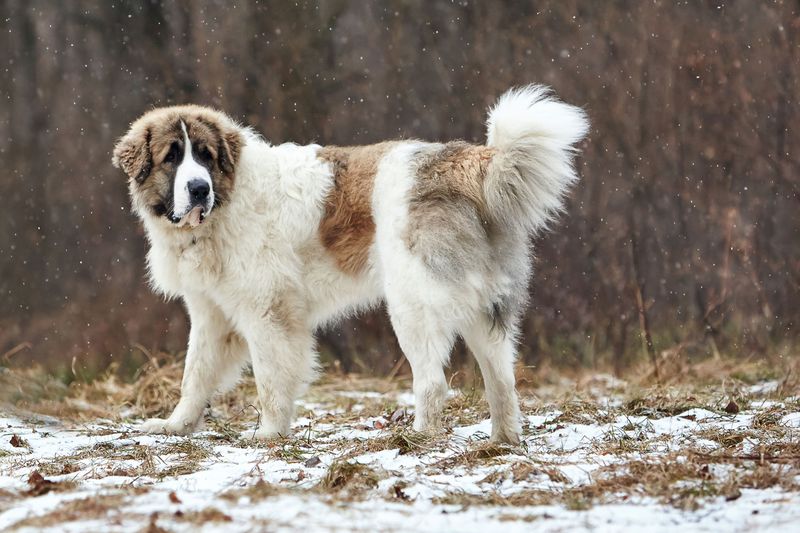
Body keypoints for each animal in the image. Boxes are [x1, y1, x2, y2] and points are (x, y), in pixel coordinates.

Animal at [112, 86, 588, 444]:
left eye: (206, 156)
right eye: (172, 157)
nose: (198, 189)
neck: (225, 205)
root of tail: (459, 161)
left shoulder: (269, 312)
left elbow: (270, 378)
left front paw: (268, 434)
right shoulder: (212, 315)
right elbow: (195, 375)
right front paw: (175, 425)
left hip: (413, 305)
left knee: (433, 382)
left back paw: (416, 436)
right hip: (484, 309)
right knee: (502, 380)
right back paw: (503, 440)